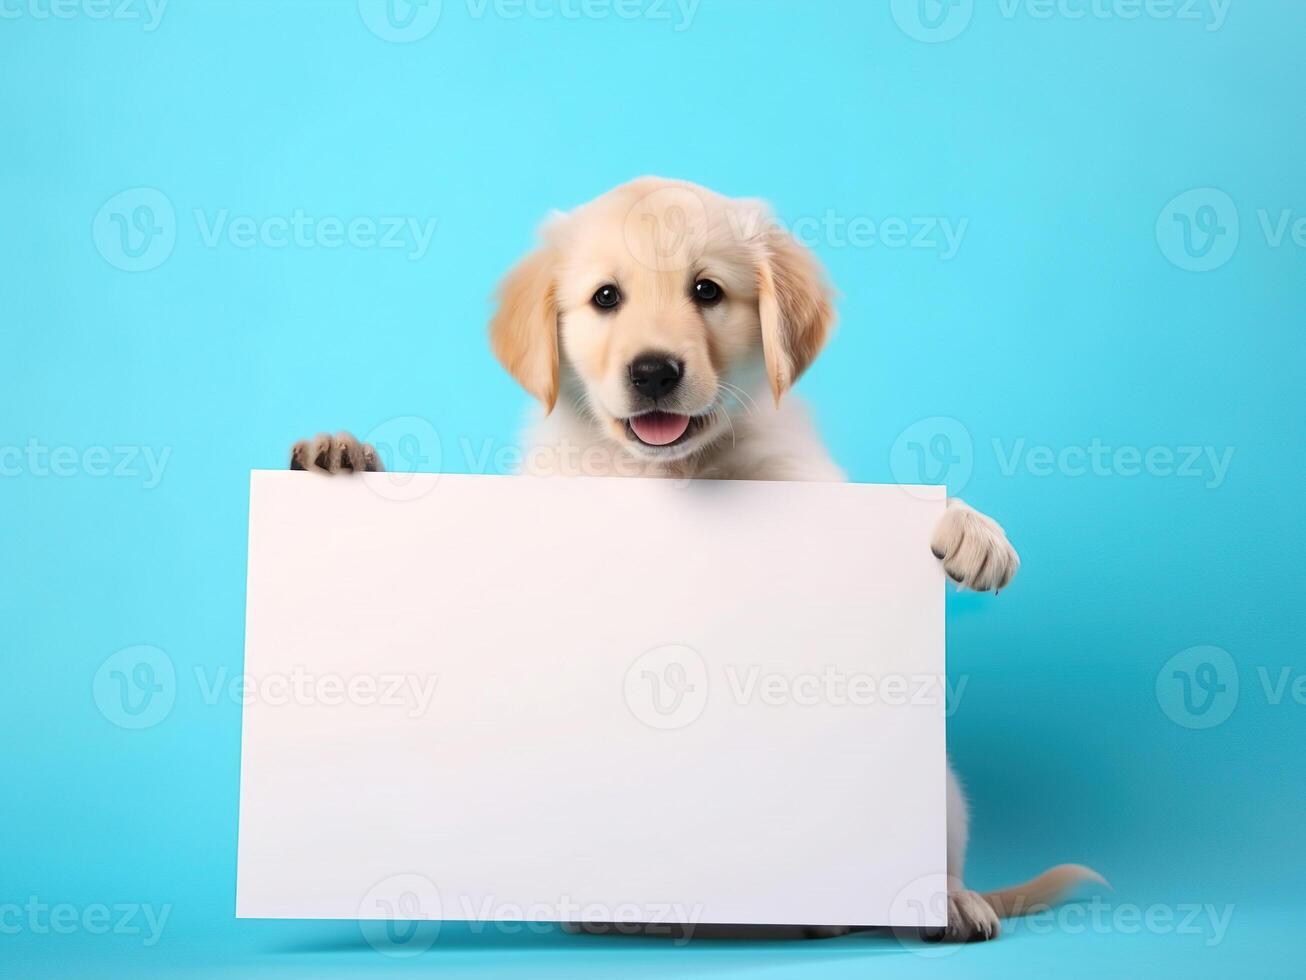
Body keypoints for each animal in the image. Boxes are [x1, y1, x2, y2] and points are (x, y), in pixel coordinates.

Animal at [291, 176, 1097, 946]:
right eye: (605, 298)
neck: (671, 472)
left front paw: (970, 526)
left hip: (945, 793)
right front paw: (343, 451)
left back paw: (938, 904)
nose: (654, 371)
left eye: (707, 291)